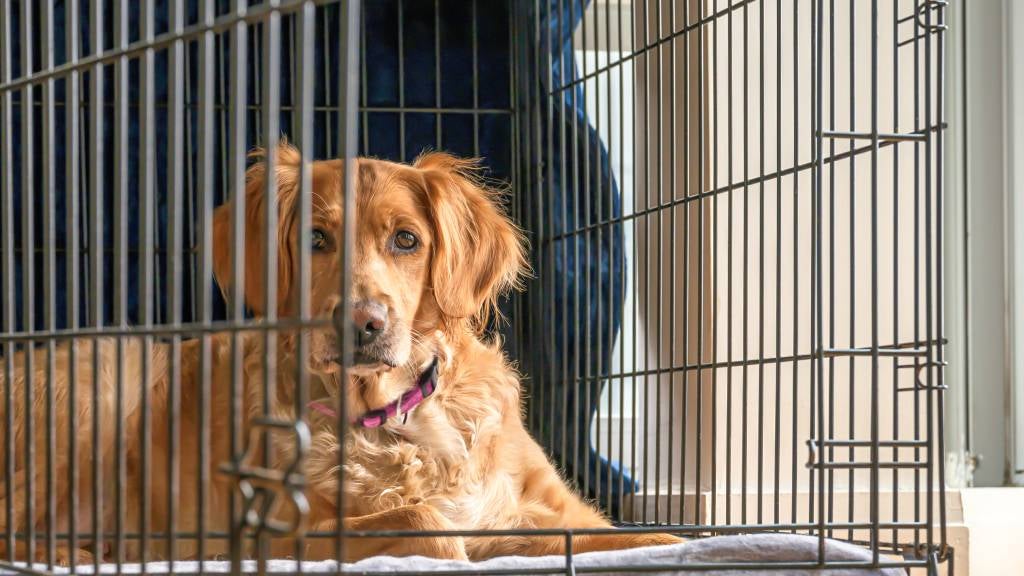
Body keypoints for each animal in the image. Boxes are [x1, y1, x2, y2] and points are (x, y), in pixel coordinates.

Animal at [0, 142, 679, 561]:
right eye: (316, 238)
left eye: (406, 239)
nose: (362, 323)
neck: (399, 414)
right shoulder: (274, 534)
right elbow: (431, 523)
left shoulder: (556, 510)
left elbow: (648, 538)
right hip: (104, 379)